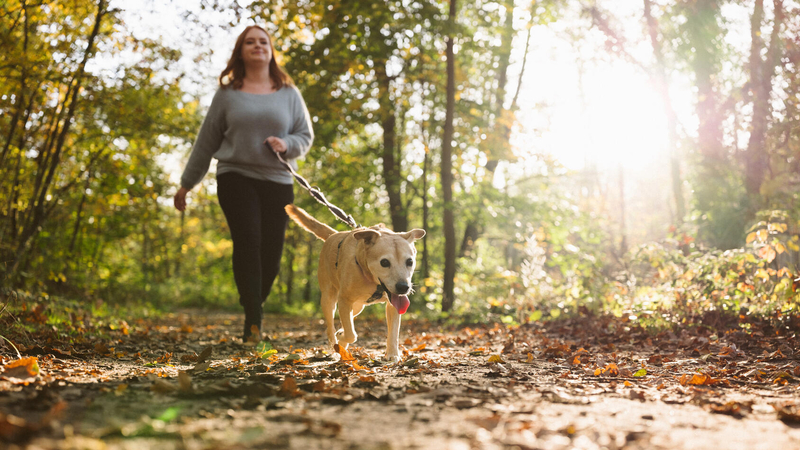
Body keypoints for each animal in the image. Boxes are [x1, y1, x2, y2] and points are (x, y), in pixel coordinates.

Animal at [286, 205, 424, 362]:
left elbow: (393, 332)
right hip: (329, 298)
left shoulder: (392, 305)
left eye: (410, 261)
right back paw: (335, 345)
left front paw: (393, 354)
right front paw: (342, 338)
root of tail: (333, 235)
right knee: (331, 327)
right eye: (384, 262)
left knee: (349, 318)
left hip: (358, 306)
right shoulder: (344, 300)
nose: (403, 287)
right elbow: (351, 334)